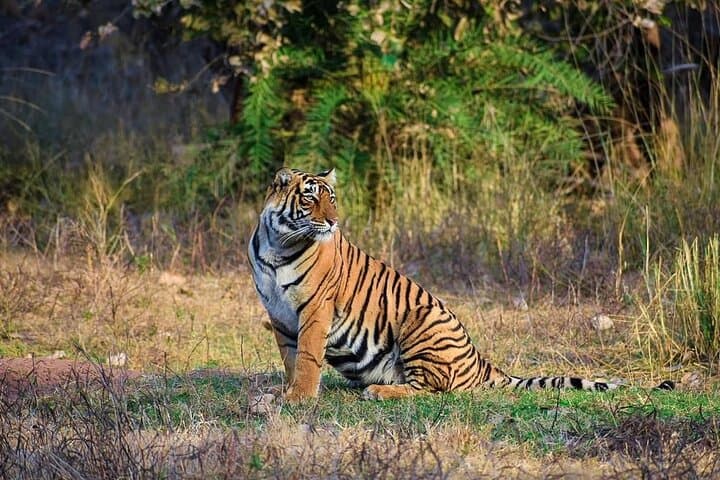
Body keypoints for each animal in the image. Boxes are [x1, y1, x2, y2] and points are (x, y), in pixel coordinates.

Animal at [248, 167, 674, 402]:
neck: (277, 245)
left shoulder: (315, 310)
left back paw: (378, 391)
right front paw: (287, 391)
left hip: (420, 321)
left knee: (431, 388)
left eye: (332, 199)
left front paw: (300, 398)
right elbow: (291, 358)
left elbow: (306, 358)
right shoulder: (280, 315)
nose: (334, 222)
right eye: (310, 199)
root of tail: (481, 360)